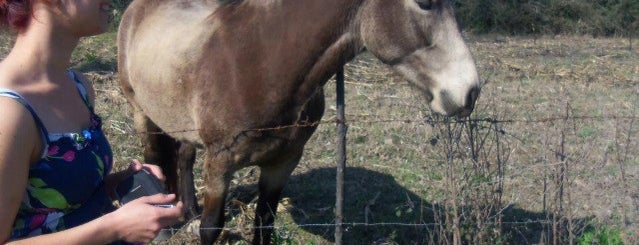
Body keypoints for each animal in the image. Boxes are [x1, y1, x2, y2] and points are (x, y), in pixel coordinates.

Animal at [119, 0, 480, 243]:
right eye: (425, 3)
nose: (470, 91)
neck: (262, 63)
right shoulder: (221, 163)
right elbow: (211, 229)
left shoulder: (283, 162)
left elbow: (264, 224)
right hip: (141, 113)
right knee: (155, 159)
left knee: (183, 157)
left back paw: (190, 209)